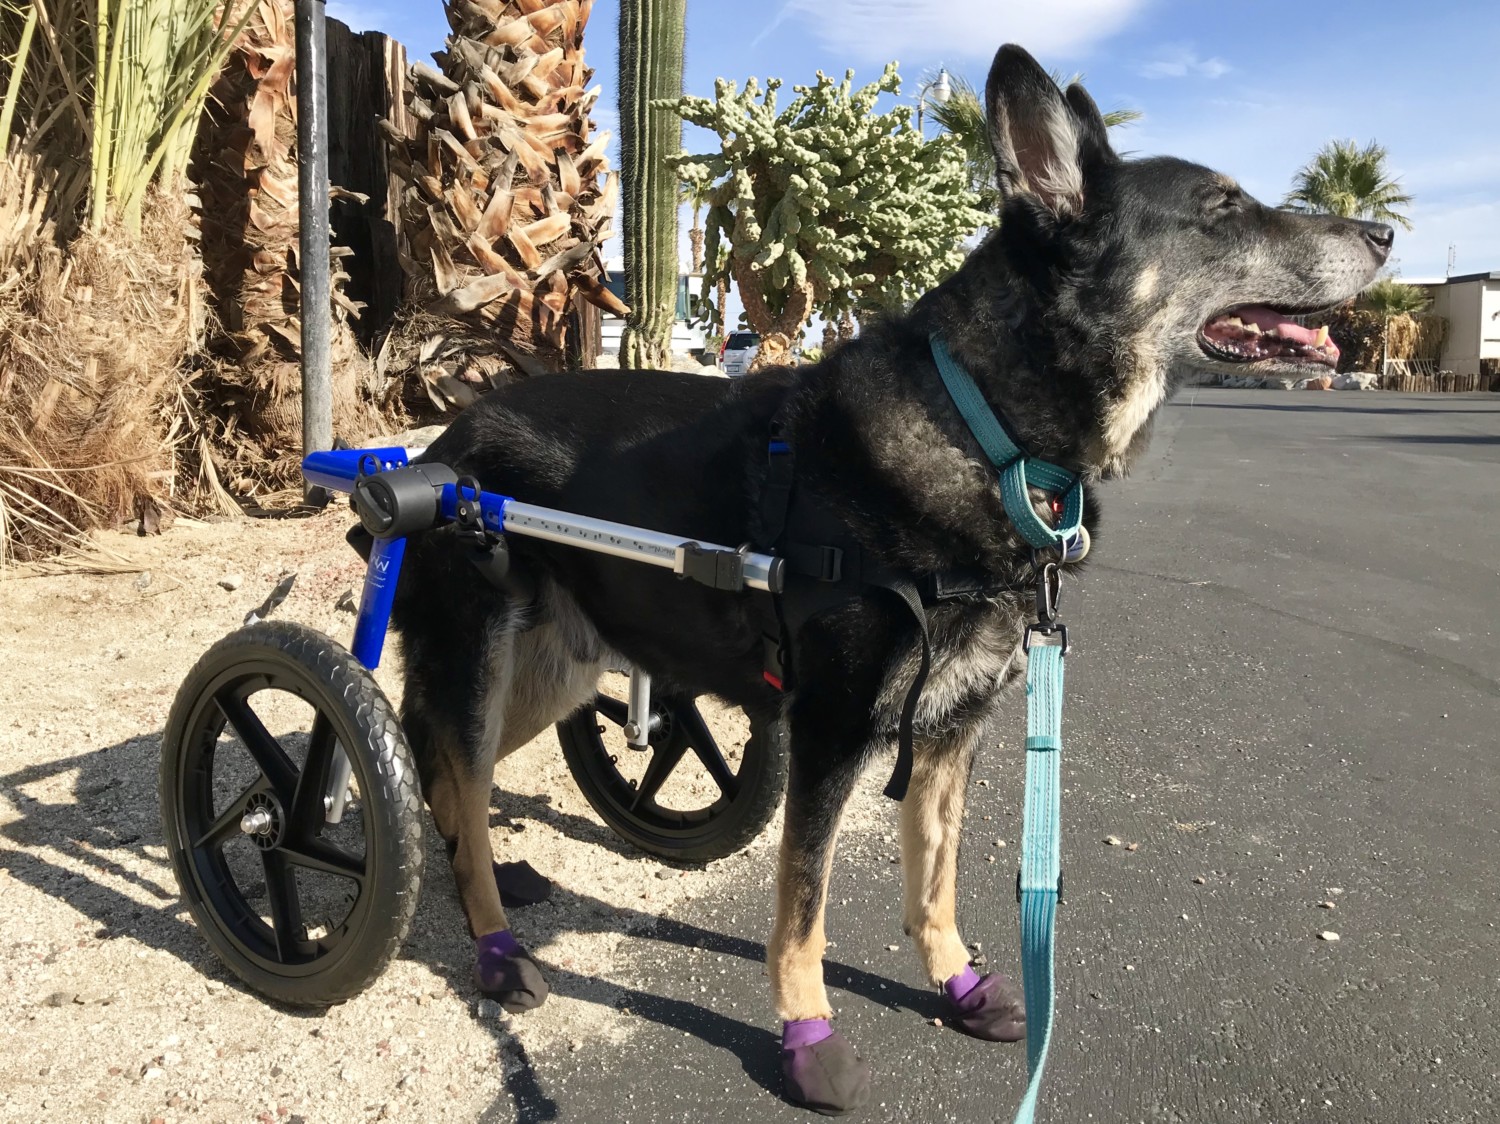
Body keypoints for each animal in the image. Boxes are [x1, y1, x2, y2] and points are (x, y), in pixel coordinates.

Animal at [390, 41, 1392, 1116]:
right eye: (1223, 207)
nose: (1384, 231)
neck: (988, 428)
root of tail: (437, 445)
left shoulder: (954, 731)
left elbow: (935, 880)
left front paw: (955, 983)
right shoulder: (830, 737)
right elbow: (803, 909)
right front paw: (806, 1034)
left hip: (555, 674)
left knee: (451, 775)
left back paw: (489, 879)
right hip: (487, 665)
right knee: (453, 769)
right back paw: (494, 946)